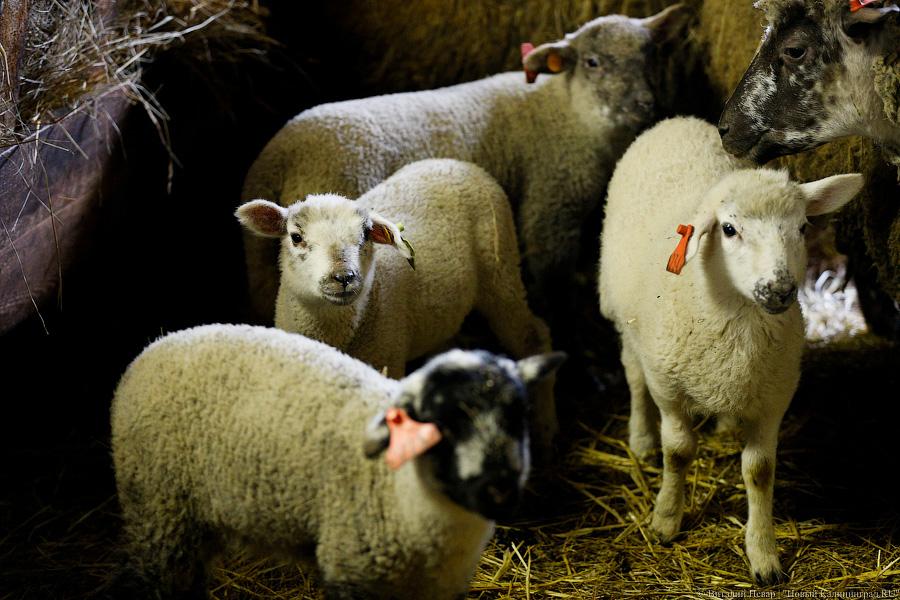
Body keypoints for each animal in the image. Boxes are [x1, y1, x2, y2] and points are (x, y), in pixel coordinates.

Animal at [110, 323, 565, 600]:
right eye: (436, 423)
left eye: (519, 414)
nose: (499, 490)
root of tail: (157, 345)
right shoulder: (350, 571)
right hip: (159, 514)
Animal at [237, 158, 560, 447]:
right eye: (296, 236)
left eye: (365, 234)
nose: (344, 277)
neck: (337, 331)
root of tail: (459, 163)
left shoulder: (387, 360)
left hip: (500, 270)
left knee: (533, 334)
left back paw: (545, 427)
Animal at [240, 4, 693, 322]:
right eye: (592, 62)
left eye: (651, 55)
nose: (645, 104)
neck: (568, 113)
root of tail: (282, 152)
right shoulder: (551, 206)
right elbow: (551, 277)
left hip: (260, 264)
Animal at [597, 116, 863, 585]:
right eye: (728, 229)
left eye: (802, 228)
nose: (778, 289)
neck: (737, 320)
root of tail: (677, 121)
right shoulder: (668, 386)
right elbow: (678, 452)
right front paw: (666, 518)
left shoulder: (774, 395)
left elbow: (759, 472)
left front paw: (763, 555)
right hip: (623, 316)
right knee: (632, 376)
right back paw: (641, 438)